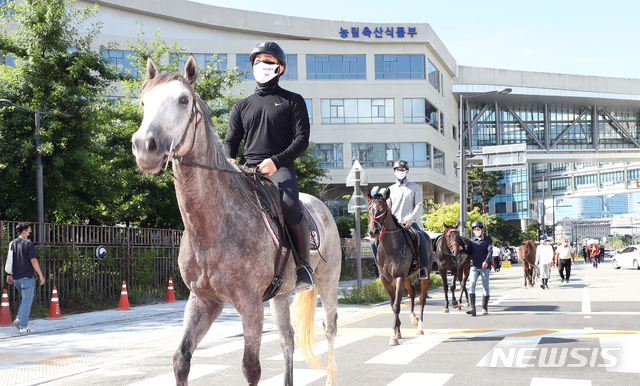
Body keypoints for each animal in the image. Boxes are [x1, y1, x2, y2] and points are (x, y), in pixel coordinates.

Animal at [132, 55, 342, 386]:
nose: (144, 146)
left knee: (330, 327)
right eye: (144, 102)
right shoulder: (203, 301)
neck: (213, 228)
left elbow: (251, 367)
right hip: (281, 294)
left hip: (327, 280)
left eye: (183, 100)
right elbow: (181, 359)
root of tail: (321, 204)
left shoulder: (250, 303)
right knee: (287, 339)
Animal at [368, 188, 432, 346]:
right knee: (412, 294)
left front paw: (393, 336)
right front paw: (397, 331)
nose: (372, 232)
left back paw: (420, 327)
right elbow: (393, 305)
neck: (389, 248)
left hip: (424, 275)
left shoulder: (399, 278)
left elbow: (397, 305)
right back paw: (413, 318)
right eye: (368, 209)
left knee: (422, 299)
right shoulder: (386, 280)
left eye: (383, 210)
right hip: (407, 278)